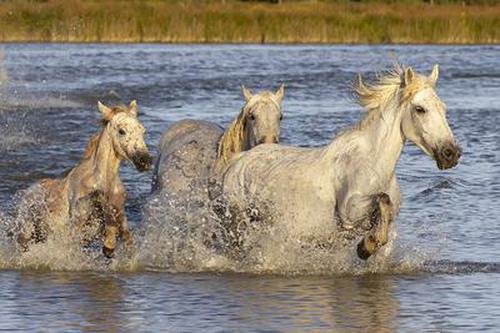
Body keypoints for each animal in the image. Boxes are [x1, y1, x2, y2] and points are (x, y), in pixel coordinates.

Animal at [219, 65, 460, 260]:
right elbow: (382, 199)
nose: (451, 153)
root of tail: (238, 160)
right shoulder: (349, 212)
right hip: (237, 226)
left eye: (444, 109)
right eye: (420, 109)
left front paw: (367, 245)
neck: (375, 166)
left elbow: (385, 219)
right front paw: (365, 247)